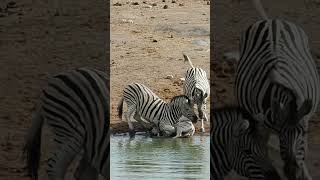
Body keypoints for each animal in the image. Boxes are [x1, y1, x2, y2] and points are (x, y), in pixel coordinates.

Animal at [232, 0, 320, 179]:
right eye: (281, 134)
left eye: (303, 133)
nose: (292, 173)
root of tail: (272, 21)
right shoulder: (262, 124)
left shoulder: (305, 120)